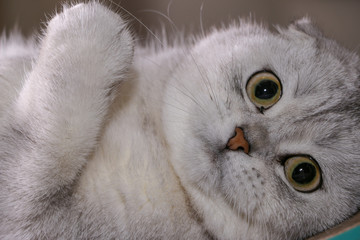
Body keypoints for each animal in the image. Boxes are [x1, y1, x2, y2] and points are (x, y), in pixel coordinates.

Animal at [0, 1, 360, 240]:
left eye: (303, 173)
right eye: (266, 89)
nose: (241, 140)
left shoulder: (35, 221)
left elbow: (47, 152)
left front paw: (94, 30)